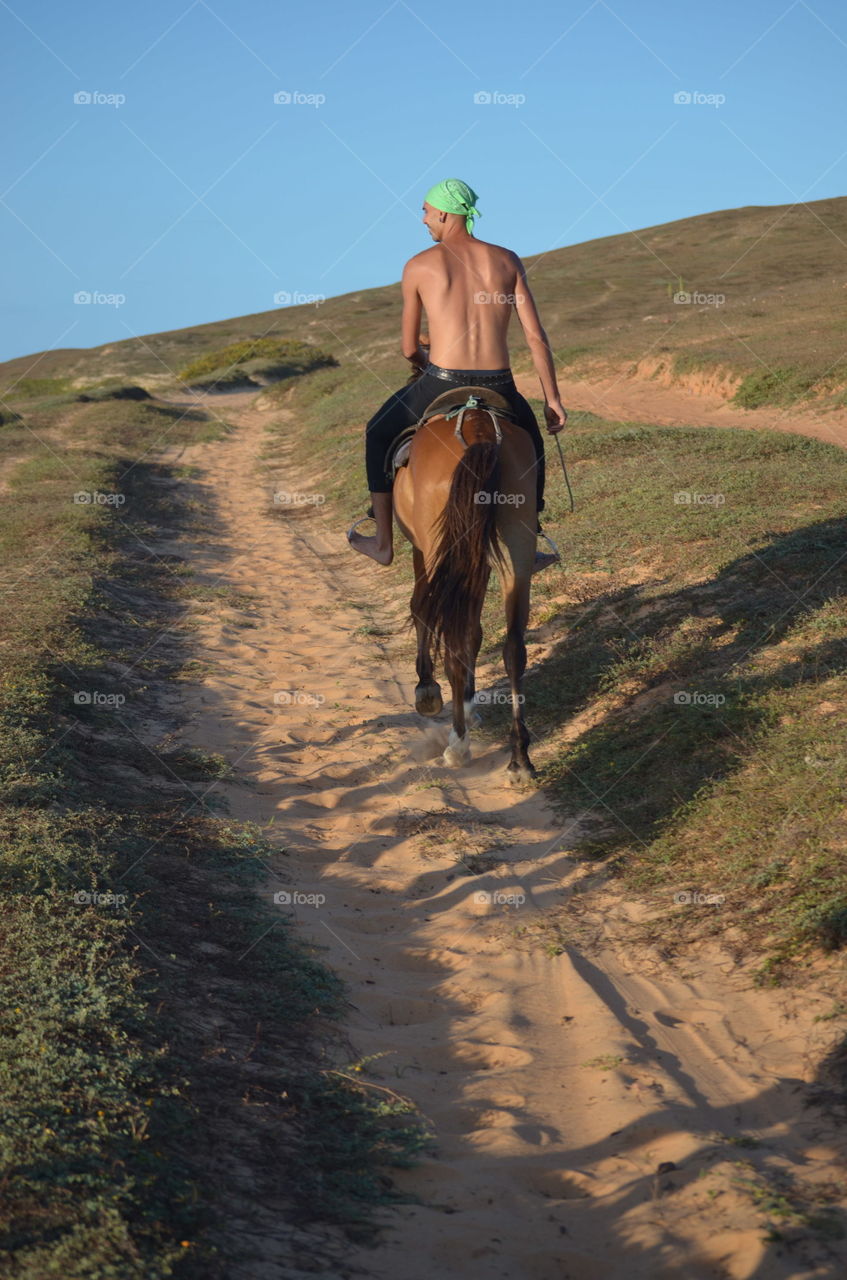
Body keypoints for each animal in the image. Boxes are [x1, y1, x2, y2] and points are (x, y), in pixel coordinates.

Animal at [391, 383, 538, 784]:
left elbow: (422, 609)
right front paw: (470, 703)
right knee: (513, 647)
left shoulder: (424, 550)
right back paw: (519, 757)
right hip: (515, 548)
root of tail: (477, 427)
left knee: (451, 637)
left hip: (440, 548)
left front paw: (427, 691)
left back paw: (457, 745)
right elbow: (475, 632)